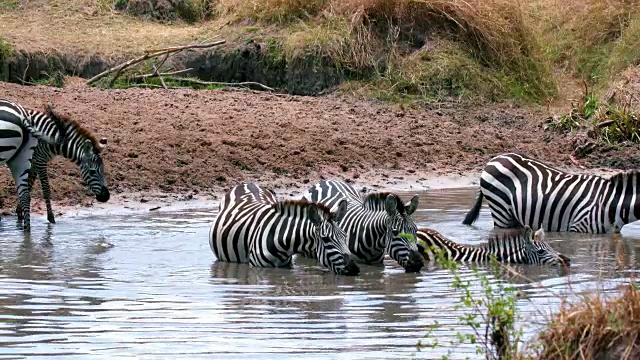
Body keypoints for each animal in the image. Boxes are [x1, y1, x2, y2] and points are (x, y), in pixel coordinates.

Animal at [210, 183, 360, 276]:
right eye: (326, 239)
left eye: (345, 236)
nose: (354, 269)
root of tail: (246, 183)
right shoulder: (257, 268)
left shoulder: (286, 266)